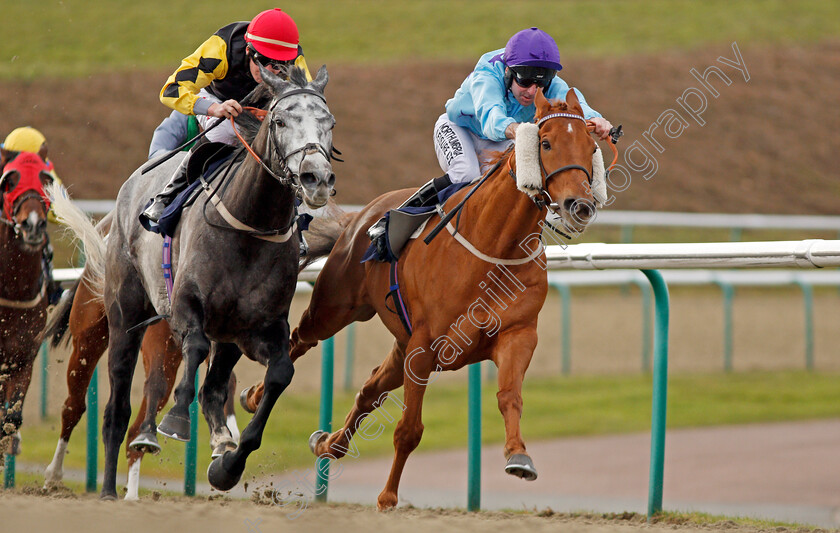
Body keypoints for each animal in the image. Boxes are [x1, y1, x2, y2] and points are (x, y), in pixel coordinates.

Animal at [52, 66, 338, 498]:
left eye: (329, 123)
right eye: (280, 121)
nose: (316, 178)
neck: (249, 225)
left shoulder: (258, 328)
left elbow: (279, 375)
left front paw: (227, 467)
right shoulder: (187, 305)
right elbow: (195, 350)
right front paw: (175, 421)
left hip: (226, 336)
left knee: (213, 387)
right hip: (123, 319)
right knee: (116, 406)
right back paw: (106, 488)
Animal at [276, 89, 596, 510]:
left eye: (592, 146)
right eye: (545, 143)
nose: (581, 205)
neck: (496, 248)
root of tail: (358, 218)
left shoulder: (517, 335)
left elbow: (510, 396)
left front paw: (519, 456)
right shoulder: (425, 346)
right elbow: (409, 430)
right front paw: (388, 497)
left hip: (399, 341)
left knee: (369, 390)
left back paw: (327, 443)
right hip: (337, 307)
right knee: (302, 339)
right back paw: (253, 400)